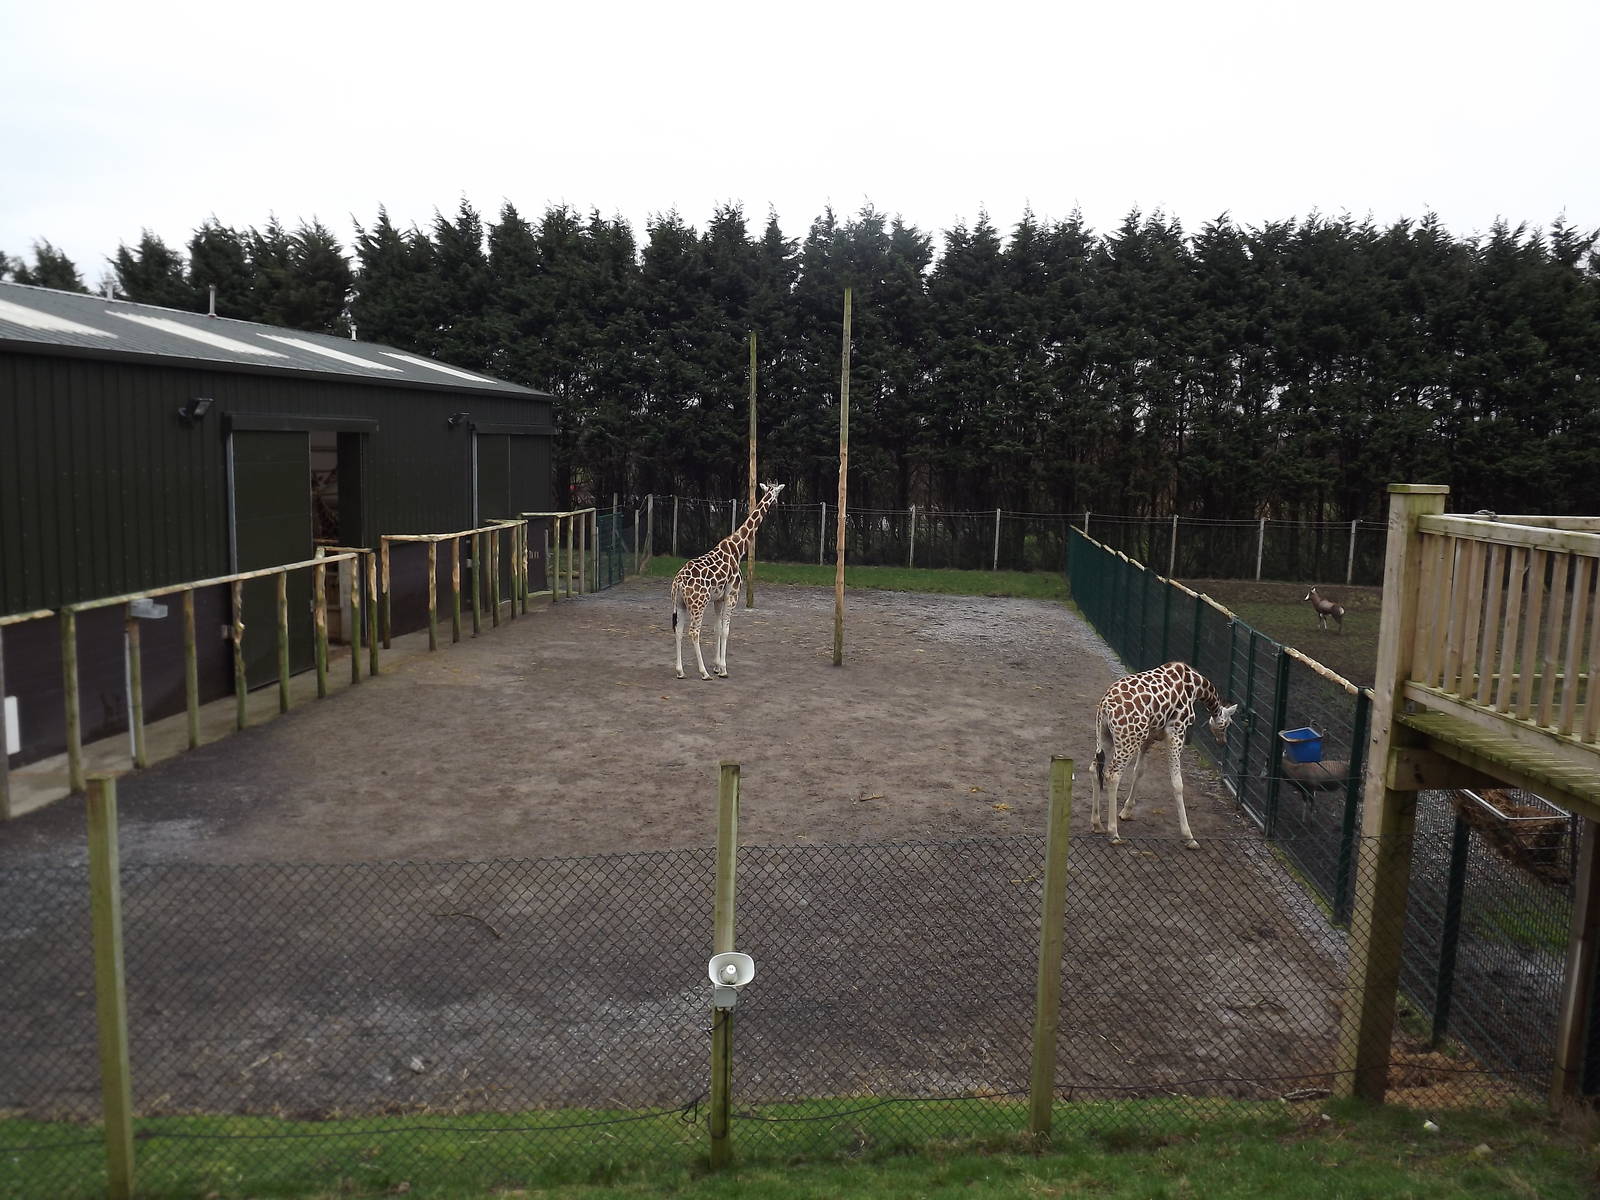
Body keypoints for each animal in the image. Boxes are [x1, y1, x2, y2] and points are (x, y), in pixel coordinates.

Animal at [671, 482, 785, 680]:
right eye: (777, 493)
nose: (778, 504)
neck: (738, 549)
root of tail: (678, 582)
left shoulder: (718, 598)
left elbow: (717, 629)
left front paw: (717, 666)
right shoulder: (732, 594)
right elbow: (725, 630)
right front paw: (723, 669)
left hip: (680, 603)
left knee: (678, 630)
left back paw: (680, 671)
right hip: (698, 604)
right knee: (693, 632)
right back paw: (703, 672)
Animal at [1091, 661, 1239, 850]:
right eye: (1228, 723)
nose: (1223, 741)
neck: (1197, 686)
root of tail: (1105, 706)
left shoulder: (1149, 737)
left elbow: (1139, 771)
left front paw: (1127, 811)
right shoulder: (1176, 732)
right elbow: (1177, 784)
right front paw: (1189, 836)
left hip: (1105, 736)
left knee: (1095, 768)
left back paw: (1096, 824)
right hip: (1128, 739)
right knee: (1112, 774)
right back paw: (1114, 833)